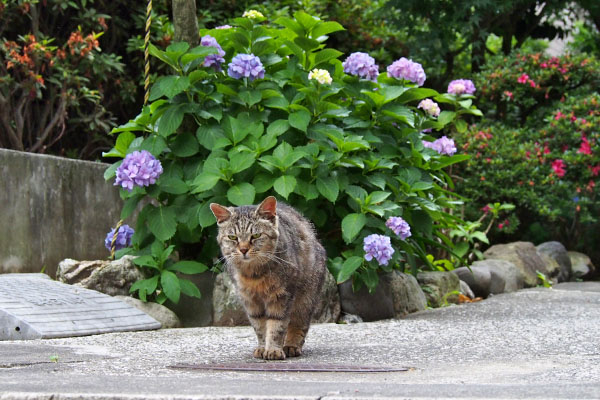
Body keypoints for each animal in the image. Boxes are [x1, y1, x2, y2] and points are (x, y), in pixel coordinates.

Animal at [209, 197, 326, 360]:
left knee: (299, 324)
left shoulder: (281, 296)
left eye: (256, 236)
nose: (243, 249)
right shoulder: (250, 301)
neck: (254, 275)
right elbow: (260, 327)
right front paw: (263, 347)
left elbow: (276, 326)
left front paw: (273, 350)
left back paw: (291, 346)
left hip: (306, 299)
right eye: (232, 237)